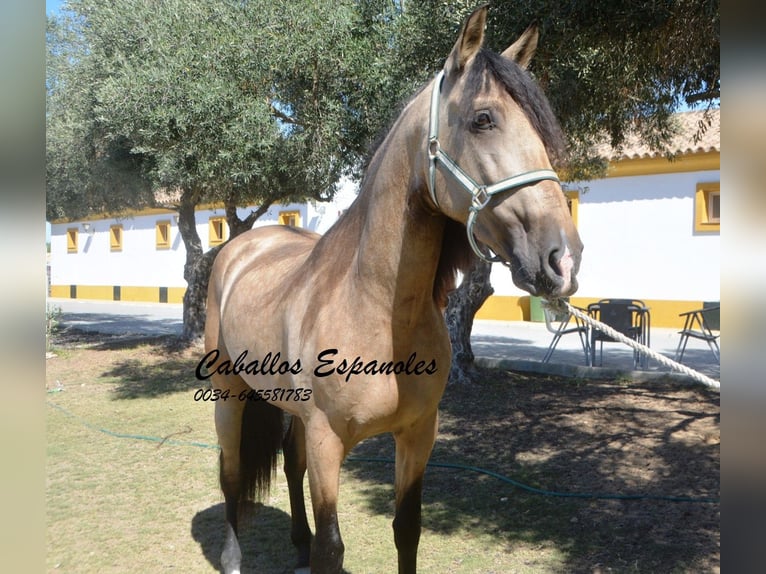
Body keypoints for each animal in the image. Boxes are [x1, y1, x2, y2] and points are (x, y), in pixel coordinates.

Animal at [204, 5, 584, 574]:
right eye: (483, 119)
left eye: (541, 127)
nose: (563, 259)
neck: (376, 309)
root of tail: (244, 246)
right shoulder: (327, 440)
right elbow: (331, 546)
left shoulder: (417, 433)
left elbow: (407, 528)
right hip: (228, 394)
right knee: (231, 474)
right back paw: (232, 557)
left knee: (289, 468)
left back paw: (294, 544)